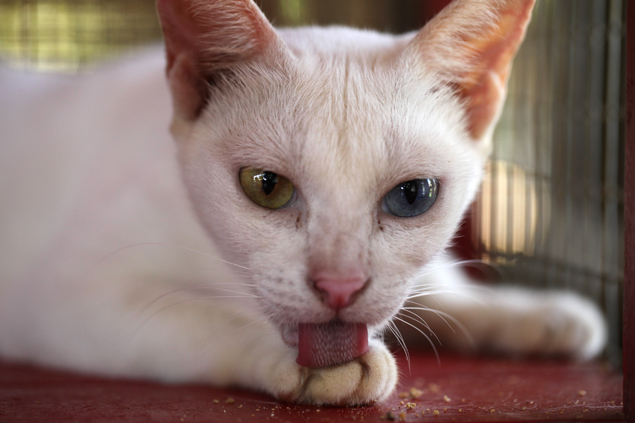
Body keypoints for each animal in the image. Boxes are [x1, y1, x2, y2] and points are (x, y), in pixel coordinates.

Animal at [0, 0, 608, 408]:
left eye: (412, 196)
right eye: (266, 186)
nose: (339, 286)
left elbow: (434, 288)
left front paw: (531, 314)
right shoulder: (64, 299)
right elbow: (203, 318)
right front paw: (299, 362)